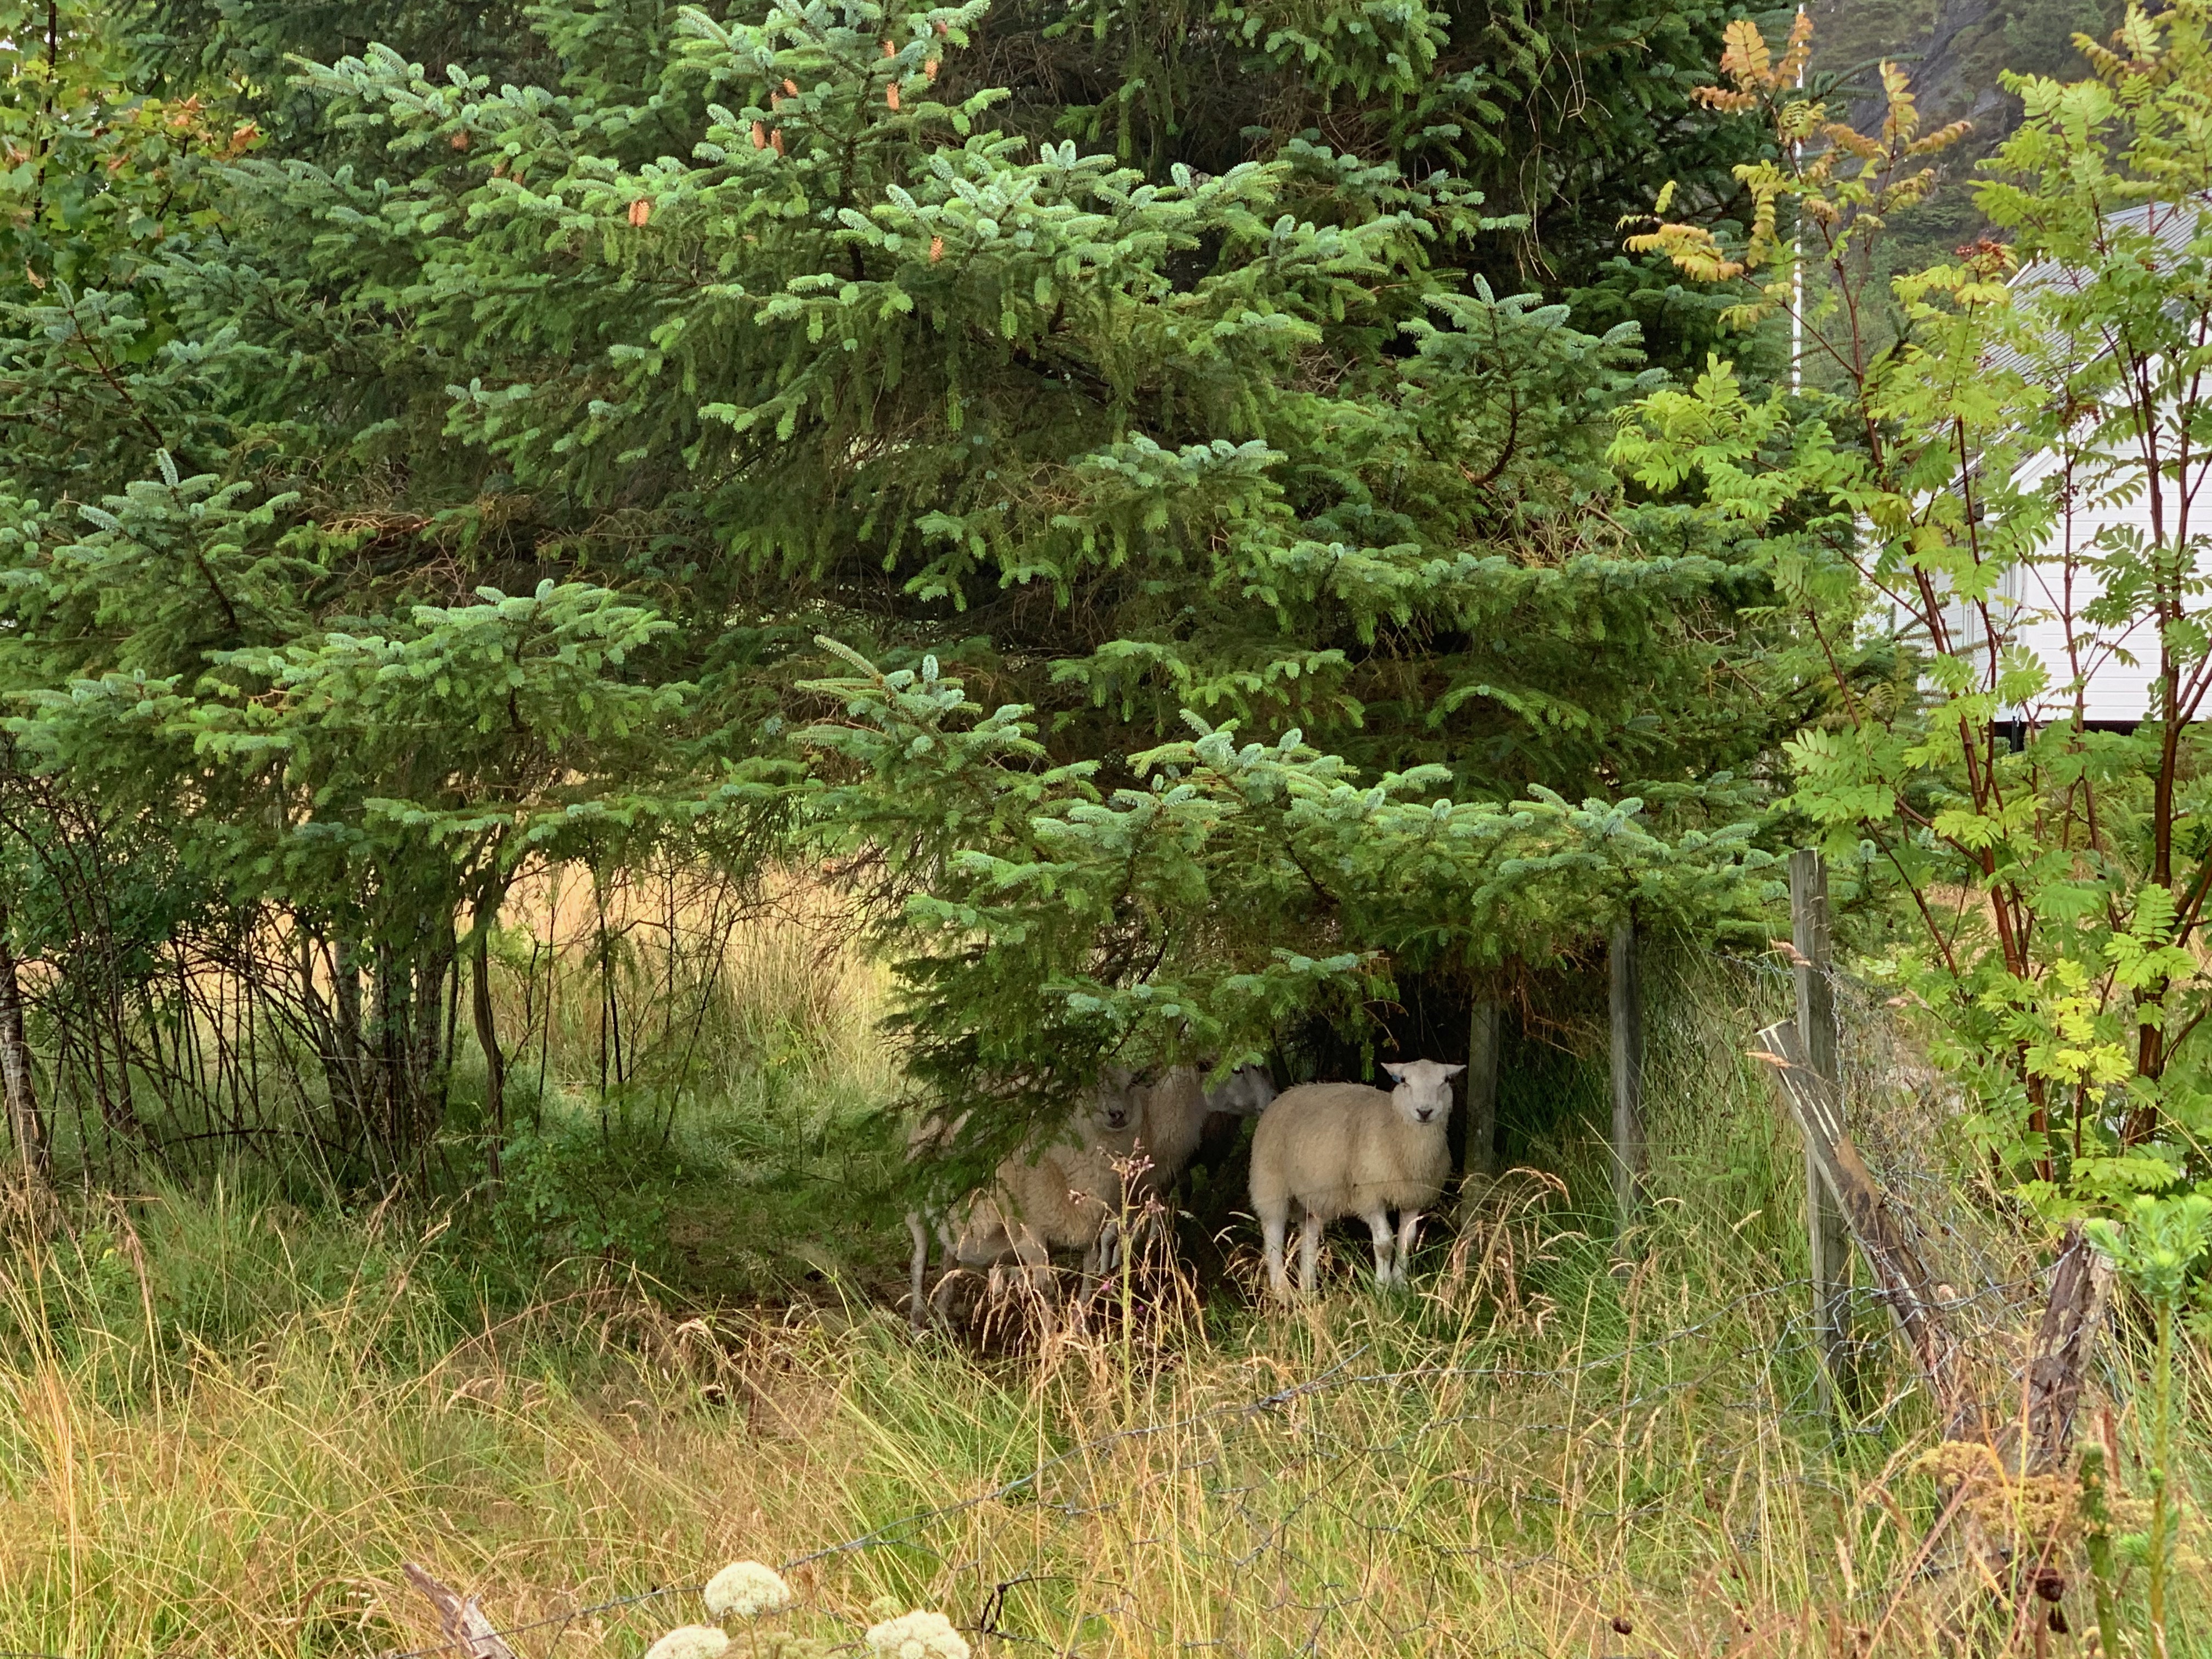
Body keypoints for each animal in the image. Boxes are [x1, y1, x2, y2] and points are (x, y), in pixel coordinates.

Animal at [1248, 1058, 1465, 1300]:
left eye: (1445, 1080)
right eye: (1405, 1081)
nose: (1425, 1112)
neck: (1395, 1129)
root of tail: (1286, 1093)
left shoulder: (1413, 1197)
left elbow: (1407, 1241)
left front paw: (1401, 1287)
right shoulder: (1370, 1196)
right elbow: (1384, 1243)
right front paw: (1382, 1289)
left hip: (1312, 1198)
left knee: (1309, 1237)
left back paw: (1309, 1291)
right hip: (1269, 1184)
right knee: (1273, 1236)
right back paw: (1282, 1292)